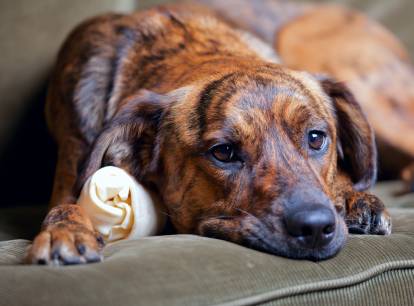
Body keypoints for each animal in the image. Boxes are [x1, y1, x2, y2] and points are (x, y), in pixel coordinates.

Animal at [25, 2, 392, 266]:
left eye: (316, 138)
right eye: (224, 152)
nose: (315, 227)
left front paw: (353, 196)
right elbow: (65, 207)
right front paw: (66, 229)